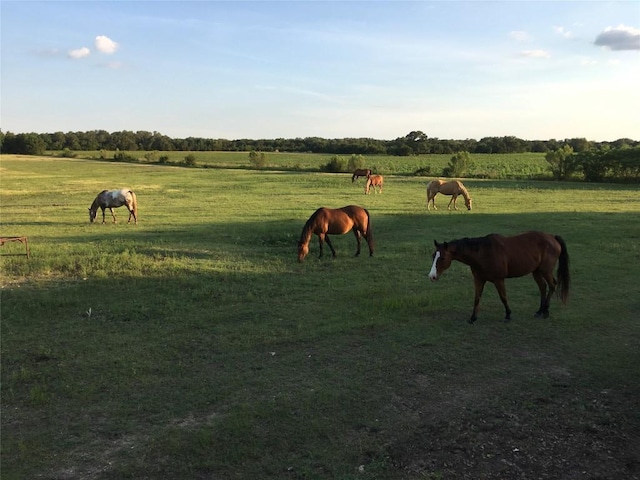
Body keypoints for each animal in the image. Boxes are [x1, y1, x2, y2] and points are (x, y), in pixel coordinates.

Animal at [430, 232, 568, 322]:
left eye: (442, 258)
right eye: (433, 256)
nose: (432, 276)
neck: (482, 253)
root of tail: (552, 238)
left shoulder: (498, 280)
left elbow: (503, 297)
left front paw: (508, 314)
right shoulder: (479, 280)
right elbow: (477, 298)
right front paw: (473, 318)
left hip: (545, 271)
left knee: (552, 285)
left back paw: (546, 311)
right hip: (536, 271)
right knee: (543, 288)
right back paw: (540, 311)